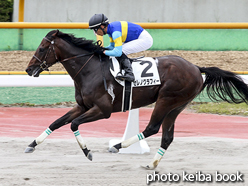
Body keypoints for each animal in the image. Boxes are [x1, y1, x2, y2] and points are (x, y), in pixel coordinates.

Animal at [25, 29, 248, 169]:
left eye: (42, 48)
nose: (28, 69)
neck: (90, 70)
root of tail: (195, 67)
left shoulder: (103, 110)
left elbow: (73, 125)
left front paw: (87, 151)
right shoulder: (82, 106)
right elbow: (56, 122)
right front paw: (32, 144)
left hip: (167, 100)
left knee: (152, 128)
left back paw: (117, 146)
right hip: (177, 106)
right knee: (167, 136)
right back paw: (151, 164)